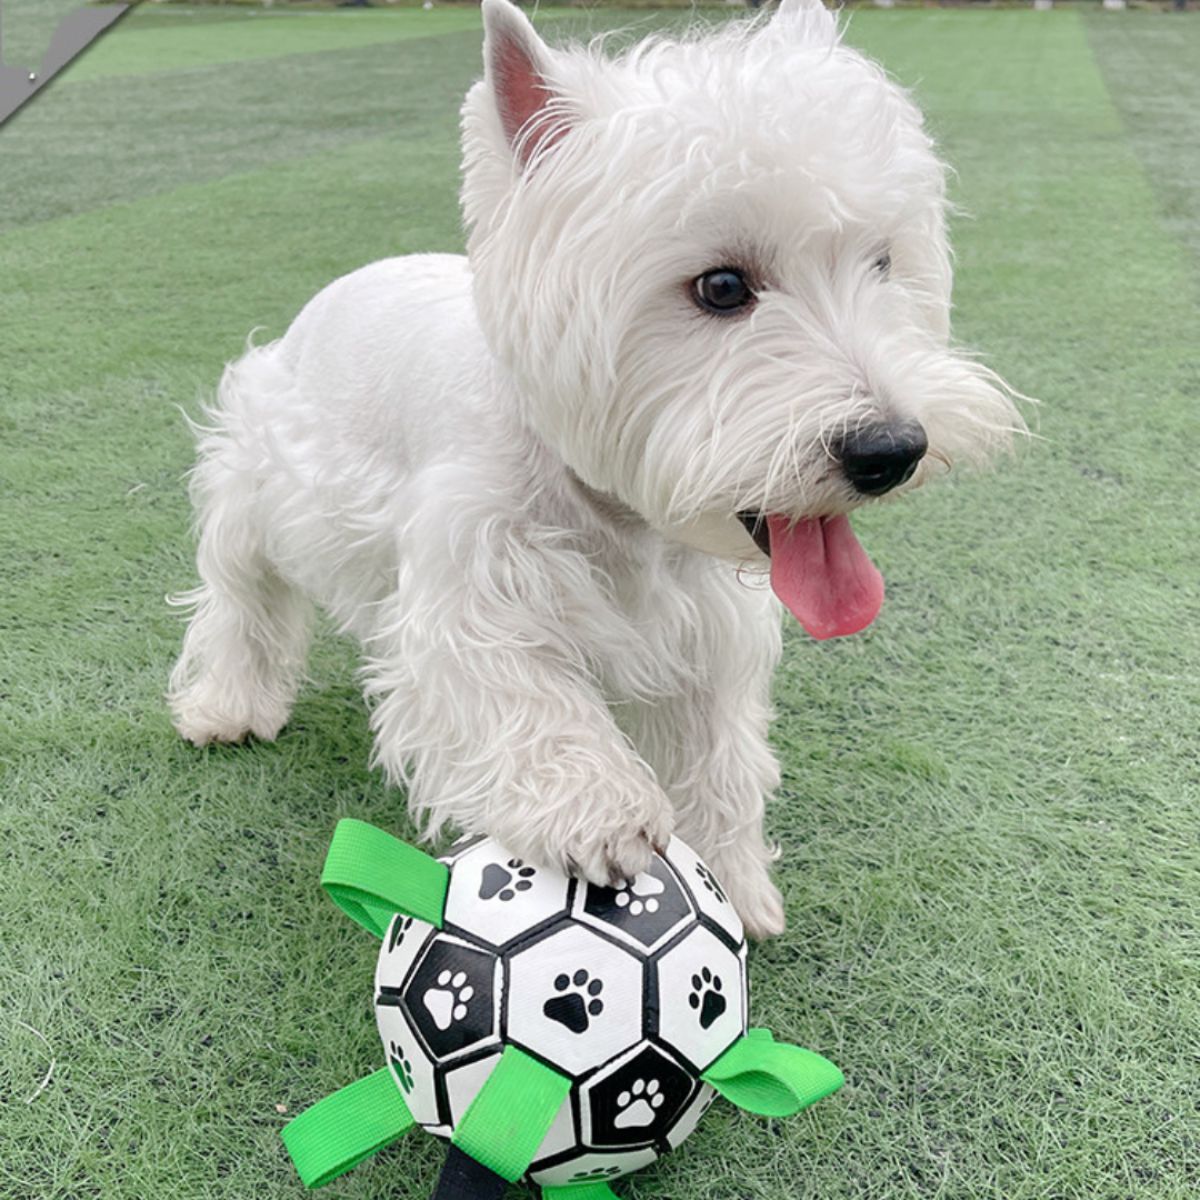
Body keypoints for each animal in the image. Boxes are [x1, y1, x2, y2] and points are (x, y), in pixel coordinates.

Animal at [164, 0, 1017, 936]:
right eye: (721, 287)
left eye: (882, 263)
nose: (891, 450)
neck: (621, 518)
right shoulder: (471, 588)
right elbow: (523, 695)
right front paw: (599, 809)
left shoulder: (705, 630)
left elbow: (718, 756)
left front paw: (733, 882)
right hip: (254, 482)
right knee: (241, 595)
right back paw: (227, 706)